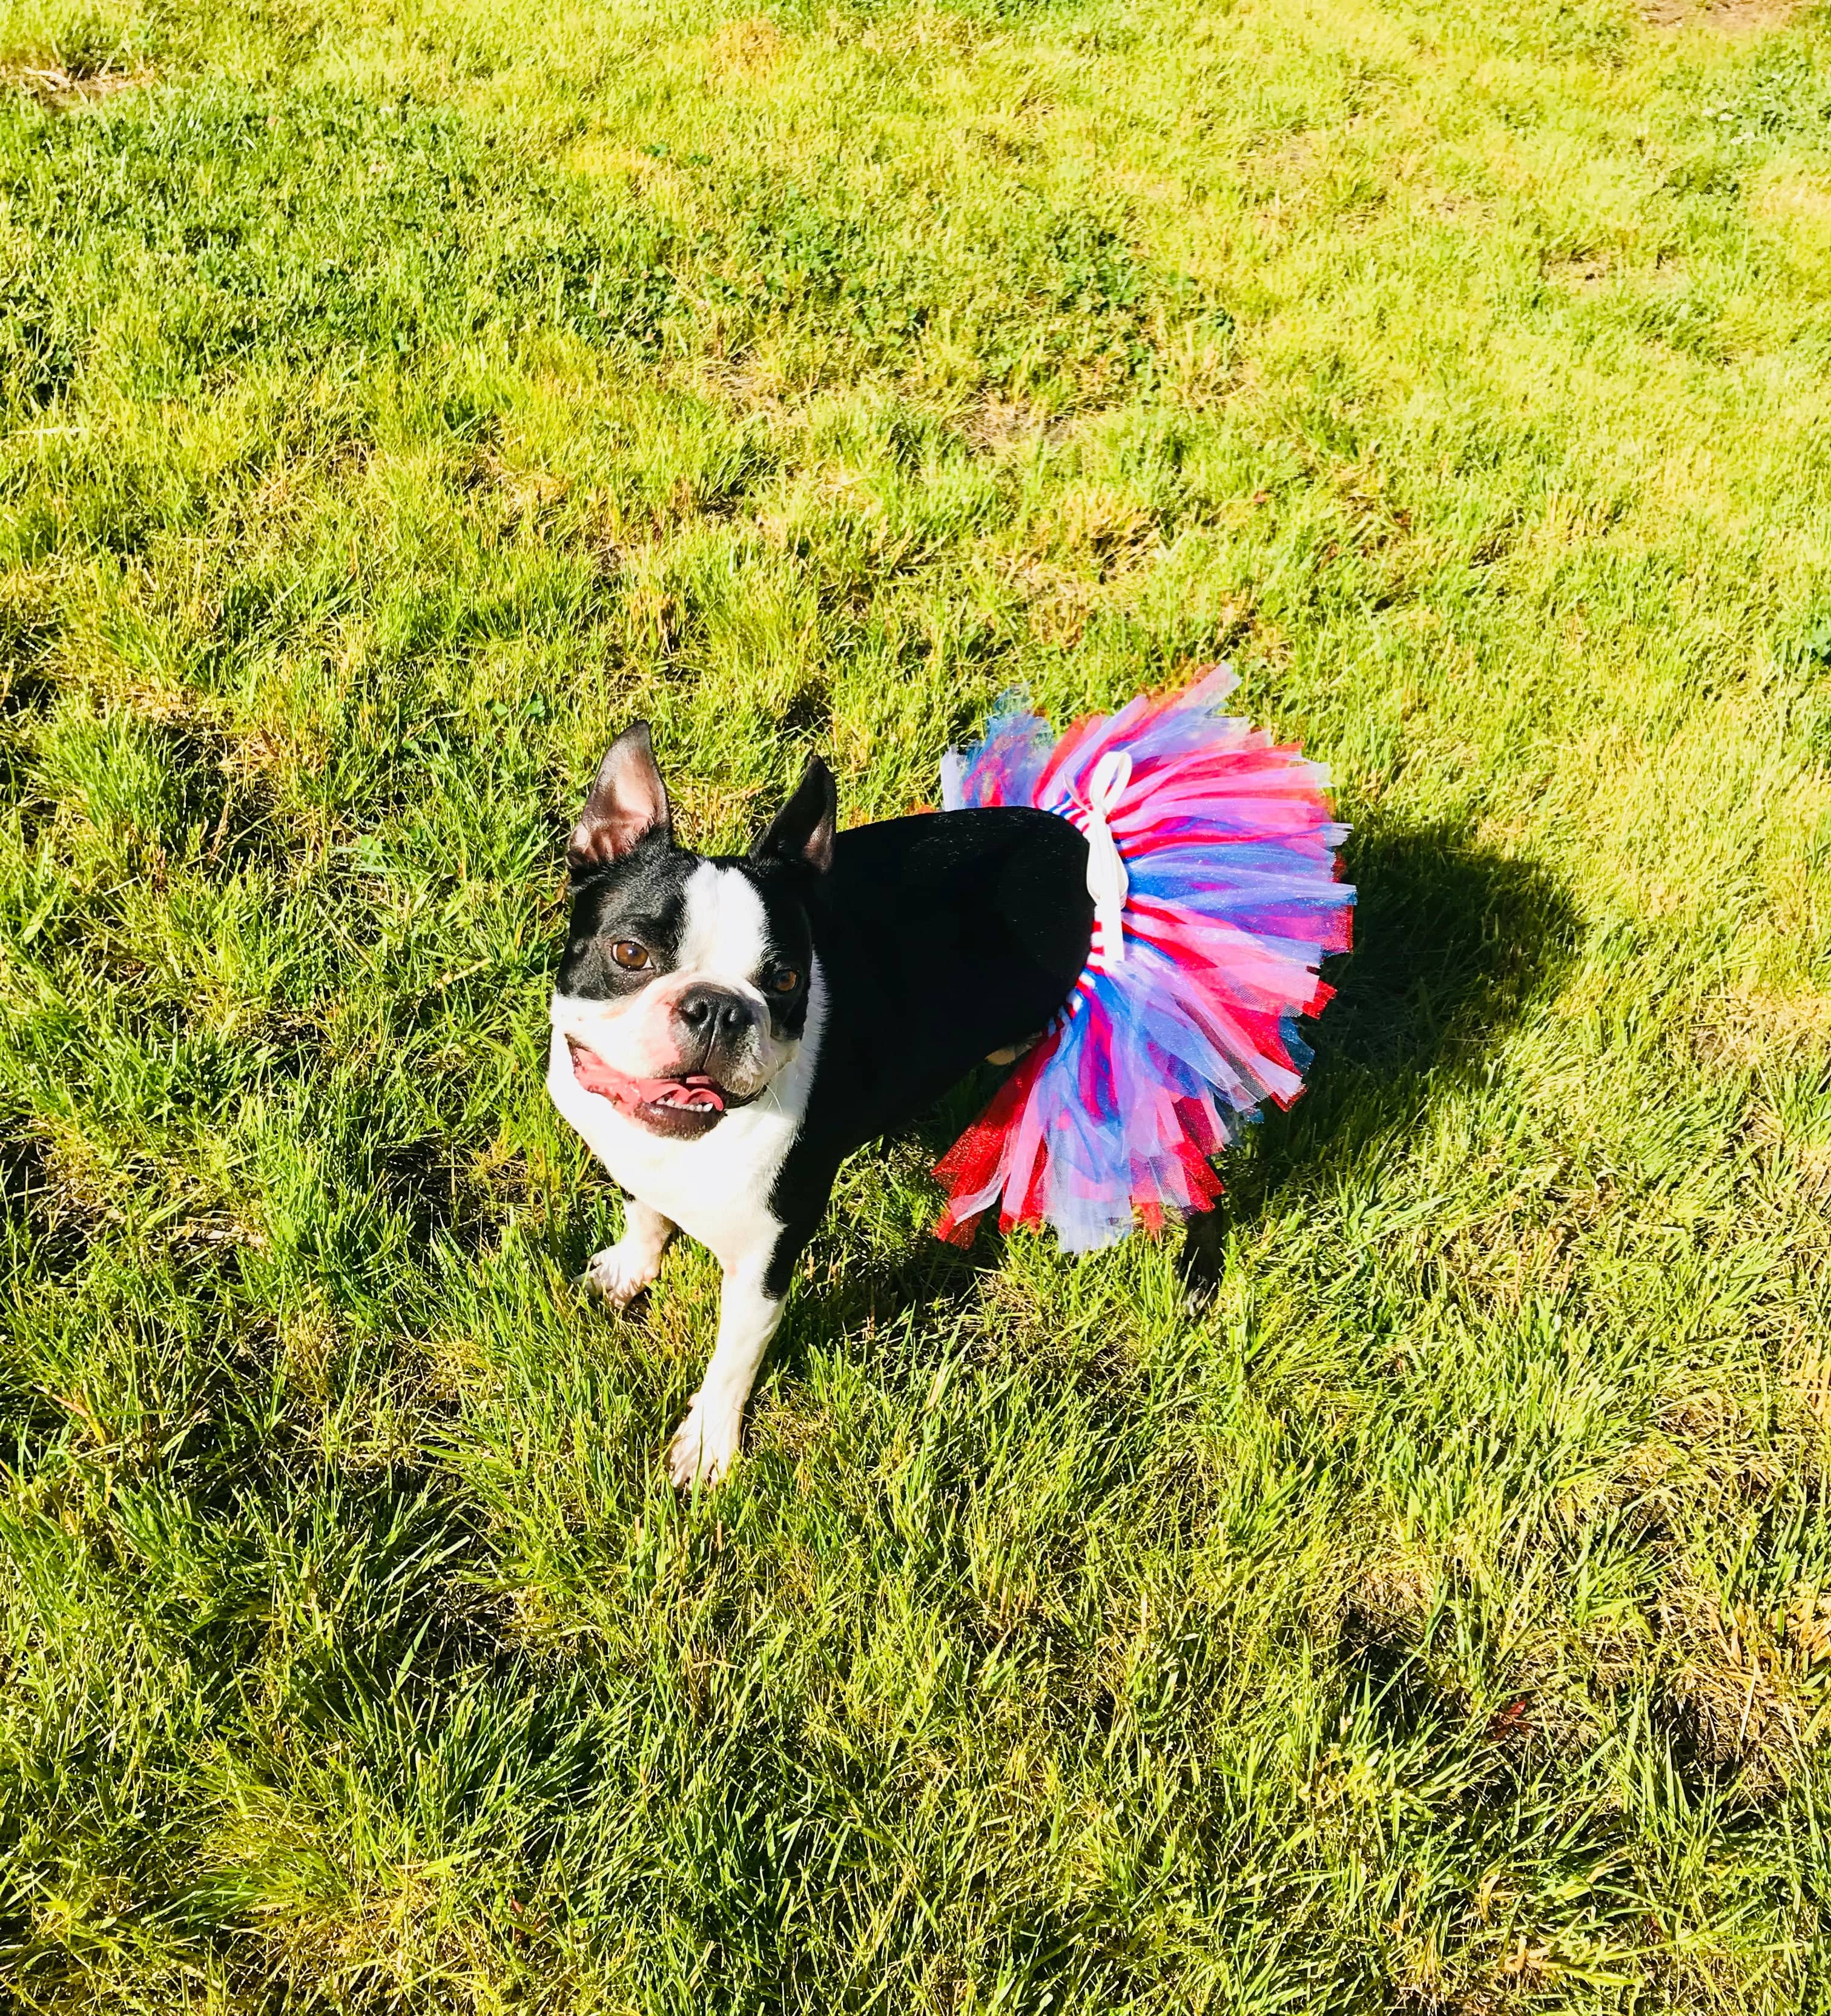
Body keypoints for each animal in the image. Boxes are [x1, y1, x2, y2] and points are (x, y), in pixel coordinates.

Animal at [552, 721, 1226, 1484]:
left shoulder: (764, 1261)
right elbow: (643, 1208)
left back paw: (1198, 1274)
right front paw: (631, 1267)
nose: (719, 1009)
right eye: (630, 953)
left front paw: (709, 1445)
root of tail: (1091, 854)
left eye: (787, 979)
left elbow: (732, 1362)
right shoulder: (634, 1152)